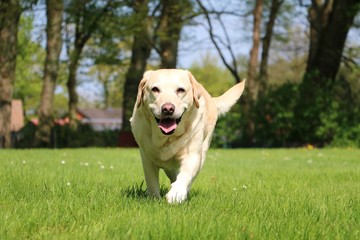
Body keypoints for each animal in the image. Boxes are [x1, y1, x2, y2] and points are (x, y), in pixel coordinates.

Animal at [129, 69, 245, 202]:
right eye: (155, 89)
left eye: (180, 90)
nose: (167, 109)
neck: (167, 138)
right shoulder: (147, 157)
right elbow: (151, 181)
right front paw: (154, 199)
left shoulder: (192, 155)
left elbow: (185, 175)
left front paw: (176, 193)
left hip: (203, 150)